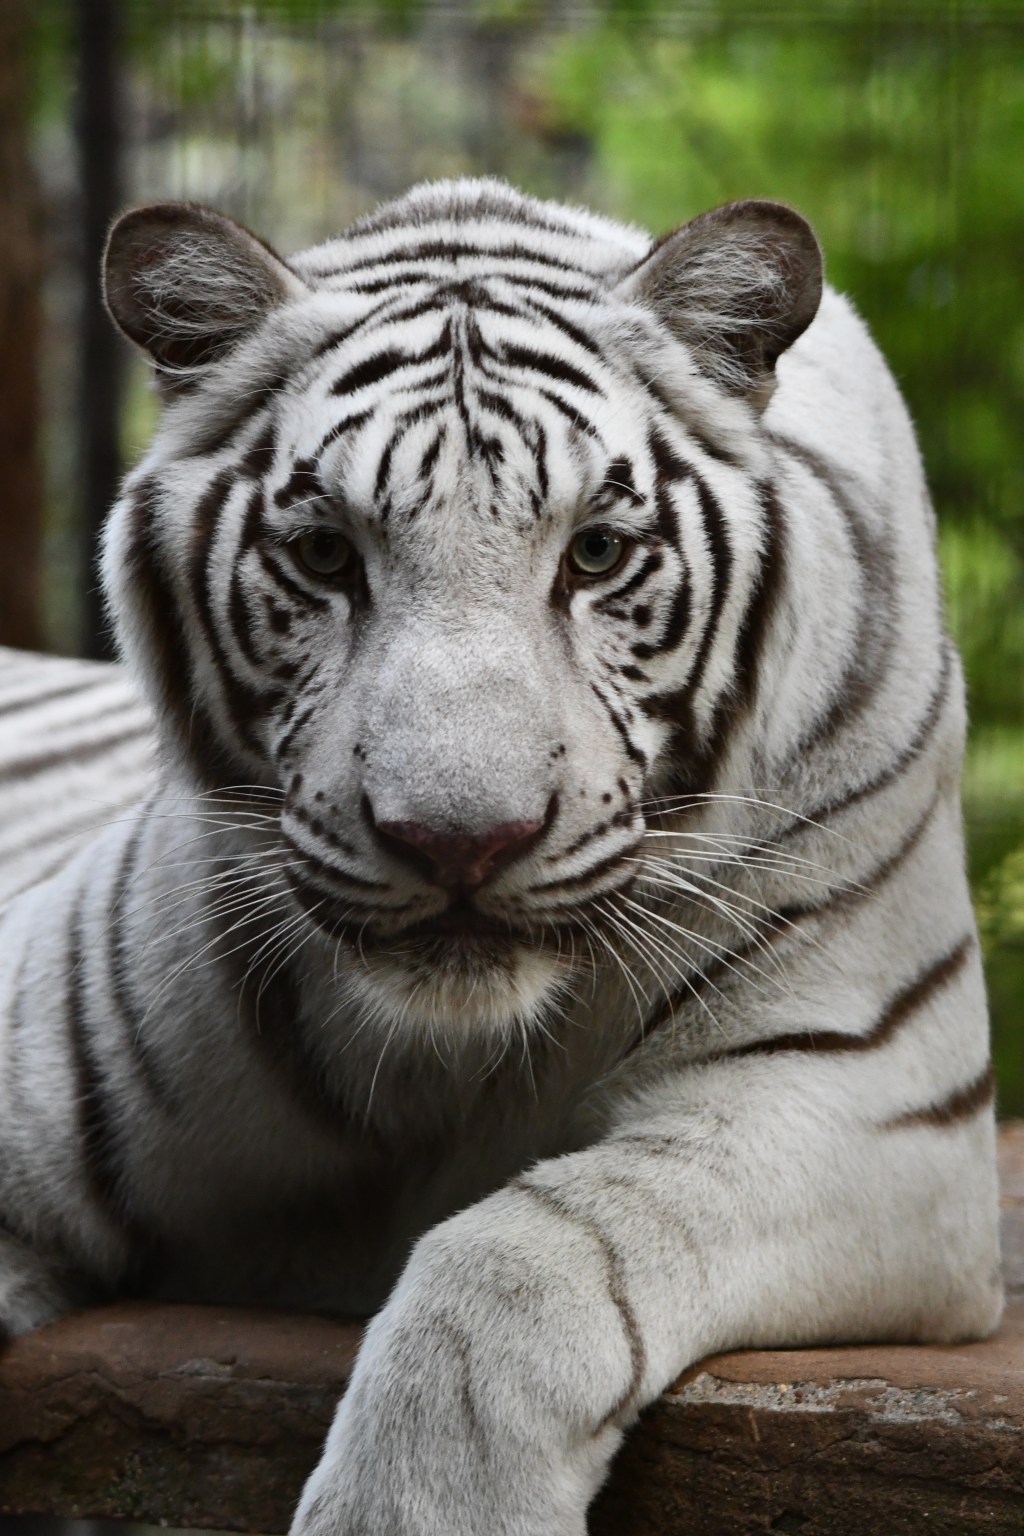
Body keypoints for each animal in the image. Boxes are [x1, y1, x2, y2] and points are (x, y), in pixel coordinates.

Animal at [0, 179, 1000, 1536]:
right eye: (325, 555)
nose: (458, 841)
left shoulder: (868, 1099)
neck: (460, 1062)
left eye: (595, 554)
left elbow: (524, 1248)